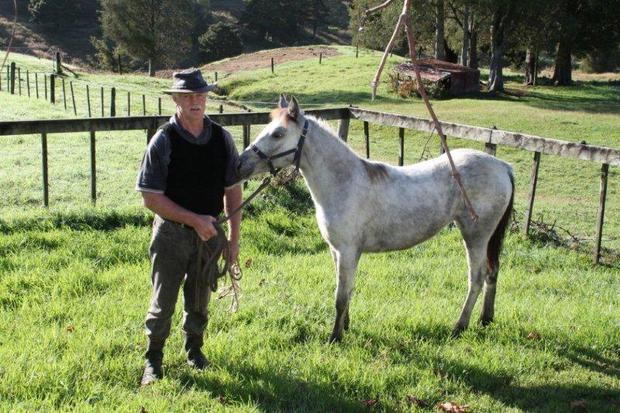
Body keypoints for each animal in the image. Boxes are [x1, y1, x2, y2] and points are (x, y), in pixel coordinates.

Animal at [235, 96, 516, 342]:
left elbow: (340, 297)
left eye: (278, 133)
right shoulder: (337, 251)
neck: (344, 182)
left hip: (475, 235)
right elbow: (347, 291)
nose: (240, 164)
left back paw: (459, 327)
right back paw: (485, 319)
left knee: (477, 278)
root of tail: (503, 166)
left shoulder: (348, 251)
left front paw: (335, 337)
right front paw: (346, 327)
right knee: (492, 272)